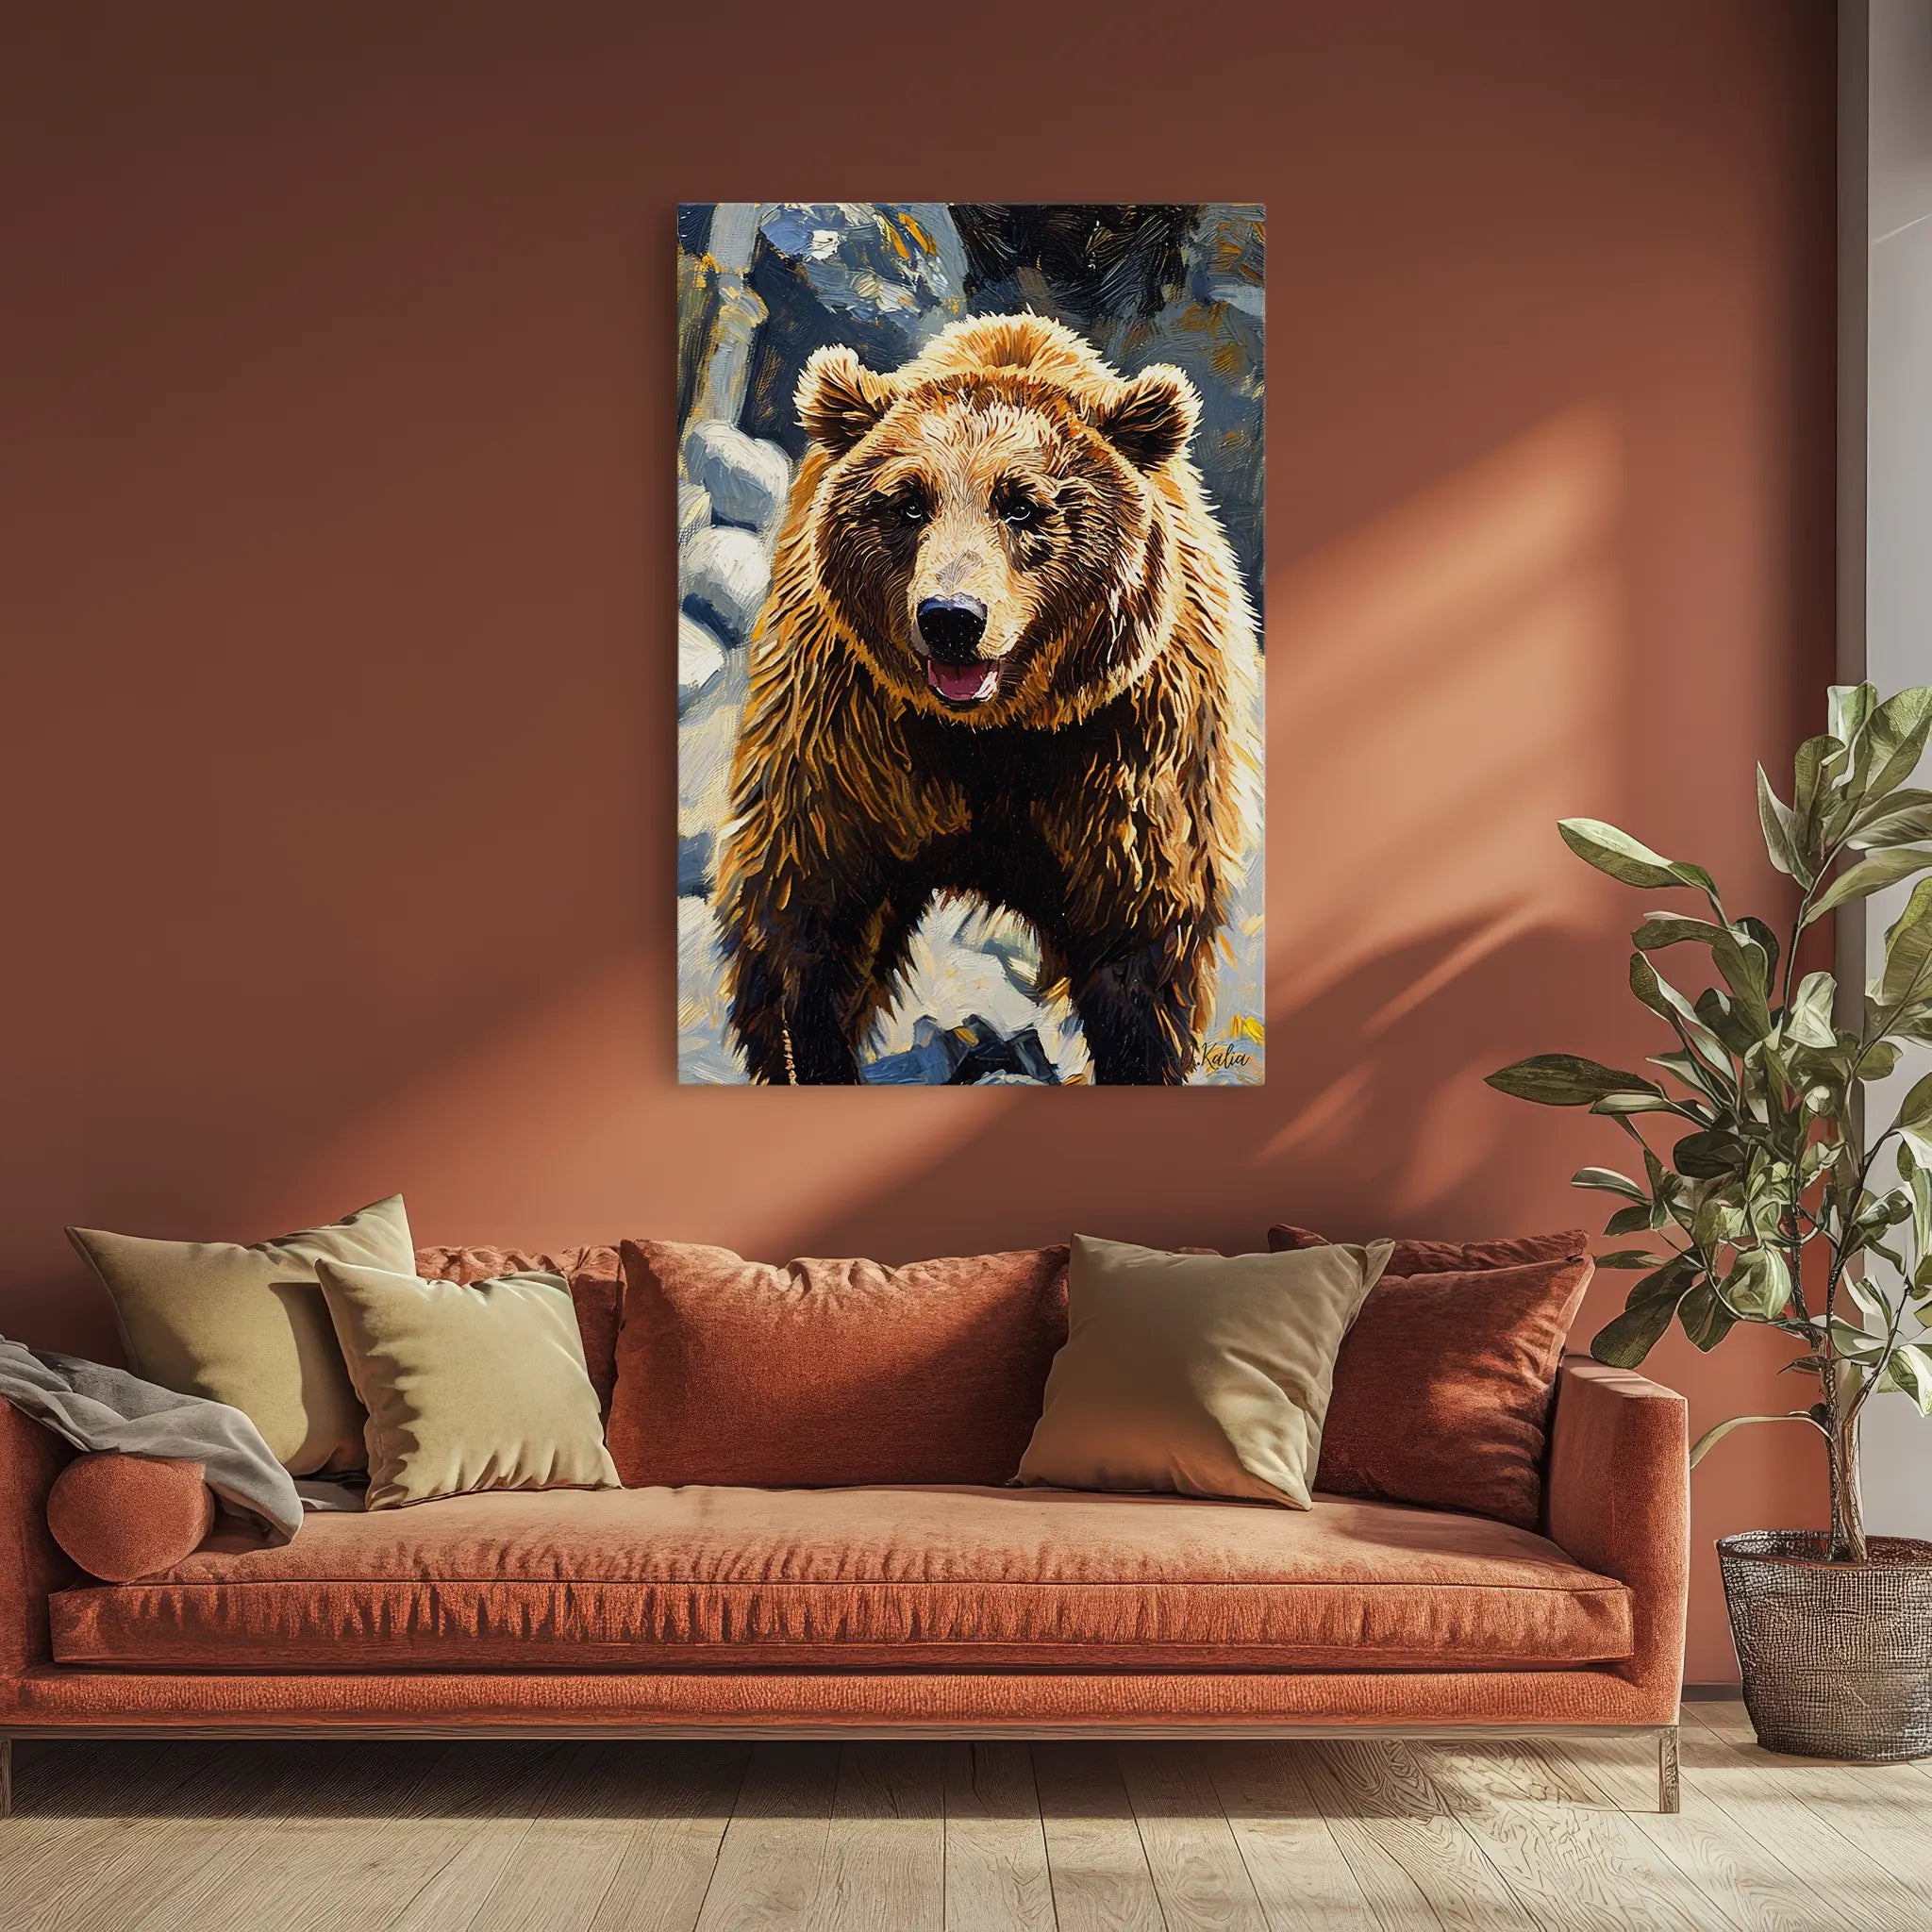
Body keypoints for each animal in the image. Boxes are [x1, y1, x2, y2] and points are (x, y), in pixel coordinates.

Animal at [713, 311, 1261, 1085]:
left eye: (1024, 505)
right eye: (909, 502)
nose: (951, 617)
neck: (997, 726)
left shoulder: (1124, 747)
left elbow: (1139, 947)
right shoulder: (851, 730)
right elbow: (808, 910)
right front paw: (812, 1055)